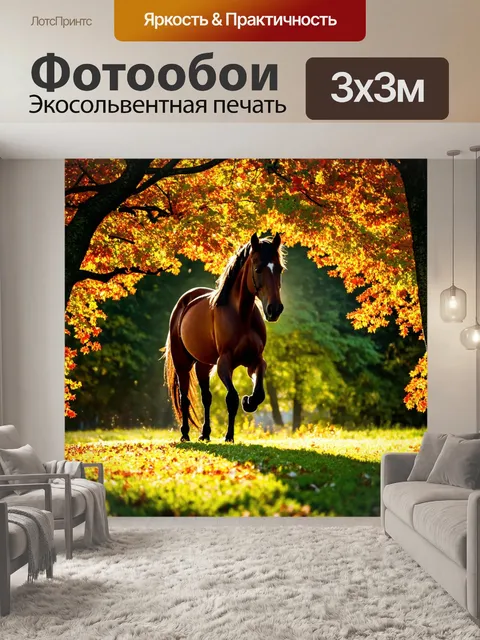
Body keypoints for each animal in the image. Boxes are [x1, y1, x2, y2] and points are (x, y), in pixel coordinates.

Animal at [164, 233, 285, 443]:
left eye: (279, 269)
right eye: (258, 269)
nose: (274, 309)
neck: (241, 316)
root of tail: (185, 301)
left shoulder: (255, 361)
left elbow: (259, 393)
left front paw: (249, 401)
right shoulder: (224, 363)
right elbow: (232, 398)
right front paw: (229, 436)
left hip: (203, 366)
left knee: (206, 397)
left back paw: (205, 433)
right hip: (182, 364)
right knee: (184, 398)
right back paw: (185, 434)